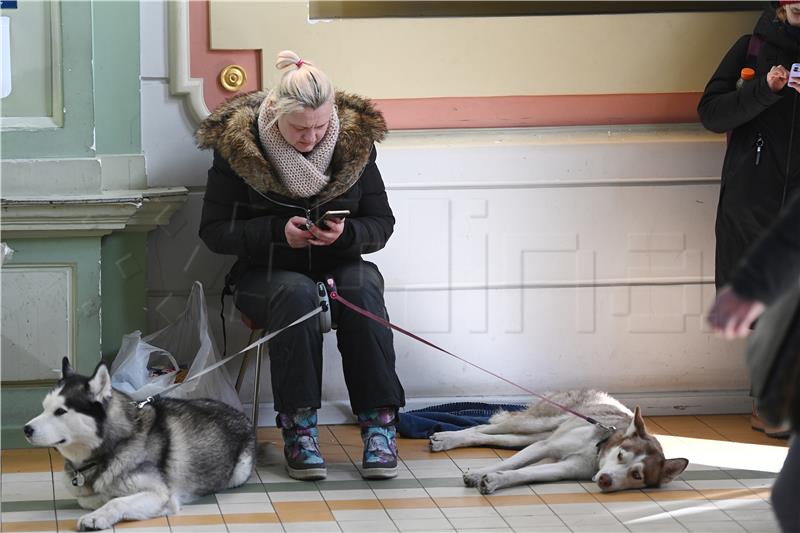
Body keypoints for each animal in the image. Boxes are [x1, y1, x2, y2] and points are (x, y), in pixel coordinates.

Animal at [24, 358, 260, 528]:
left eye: (60, 411)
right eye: (44, 408)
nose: (26, 429)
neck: (116, 444)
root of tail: (243, 415)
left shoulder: (162, 495)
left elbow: (117, 500)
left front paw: (96, 516)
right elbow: (93, 498)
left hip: (238, 473)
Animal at [432, 388, 688, 492]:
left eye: (637, 475)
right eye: (620, 455)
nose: (605, 480)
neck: (596, 449)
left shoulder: (565, 467)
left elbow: (523, 473)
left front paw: (494, 480)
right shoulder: (546, 446)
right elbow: (511, 463)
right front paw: (478, 474)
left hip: (533, 435)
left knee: (497, 437)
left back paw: (447, 440)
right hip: (537, 424)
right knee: (484, 427)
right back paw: (446, 437)